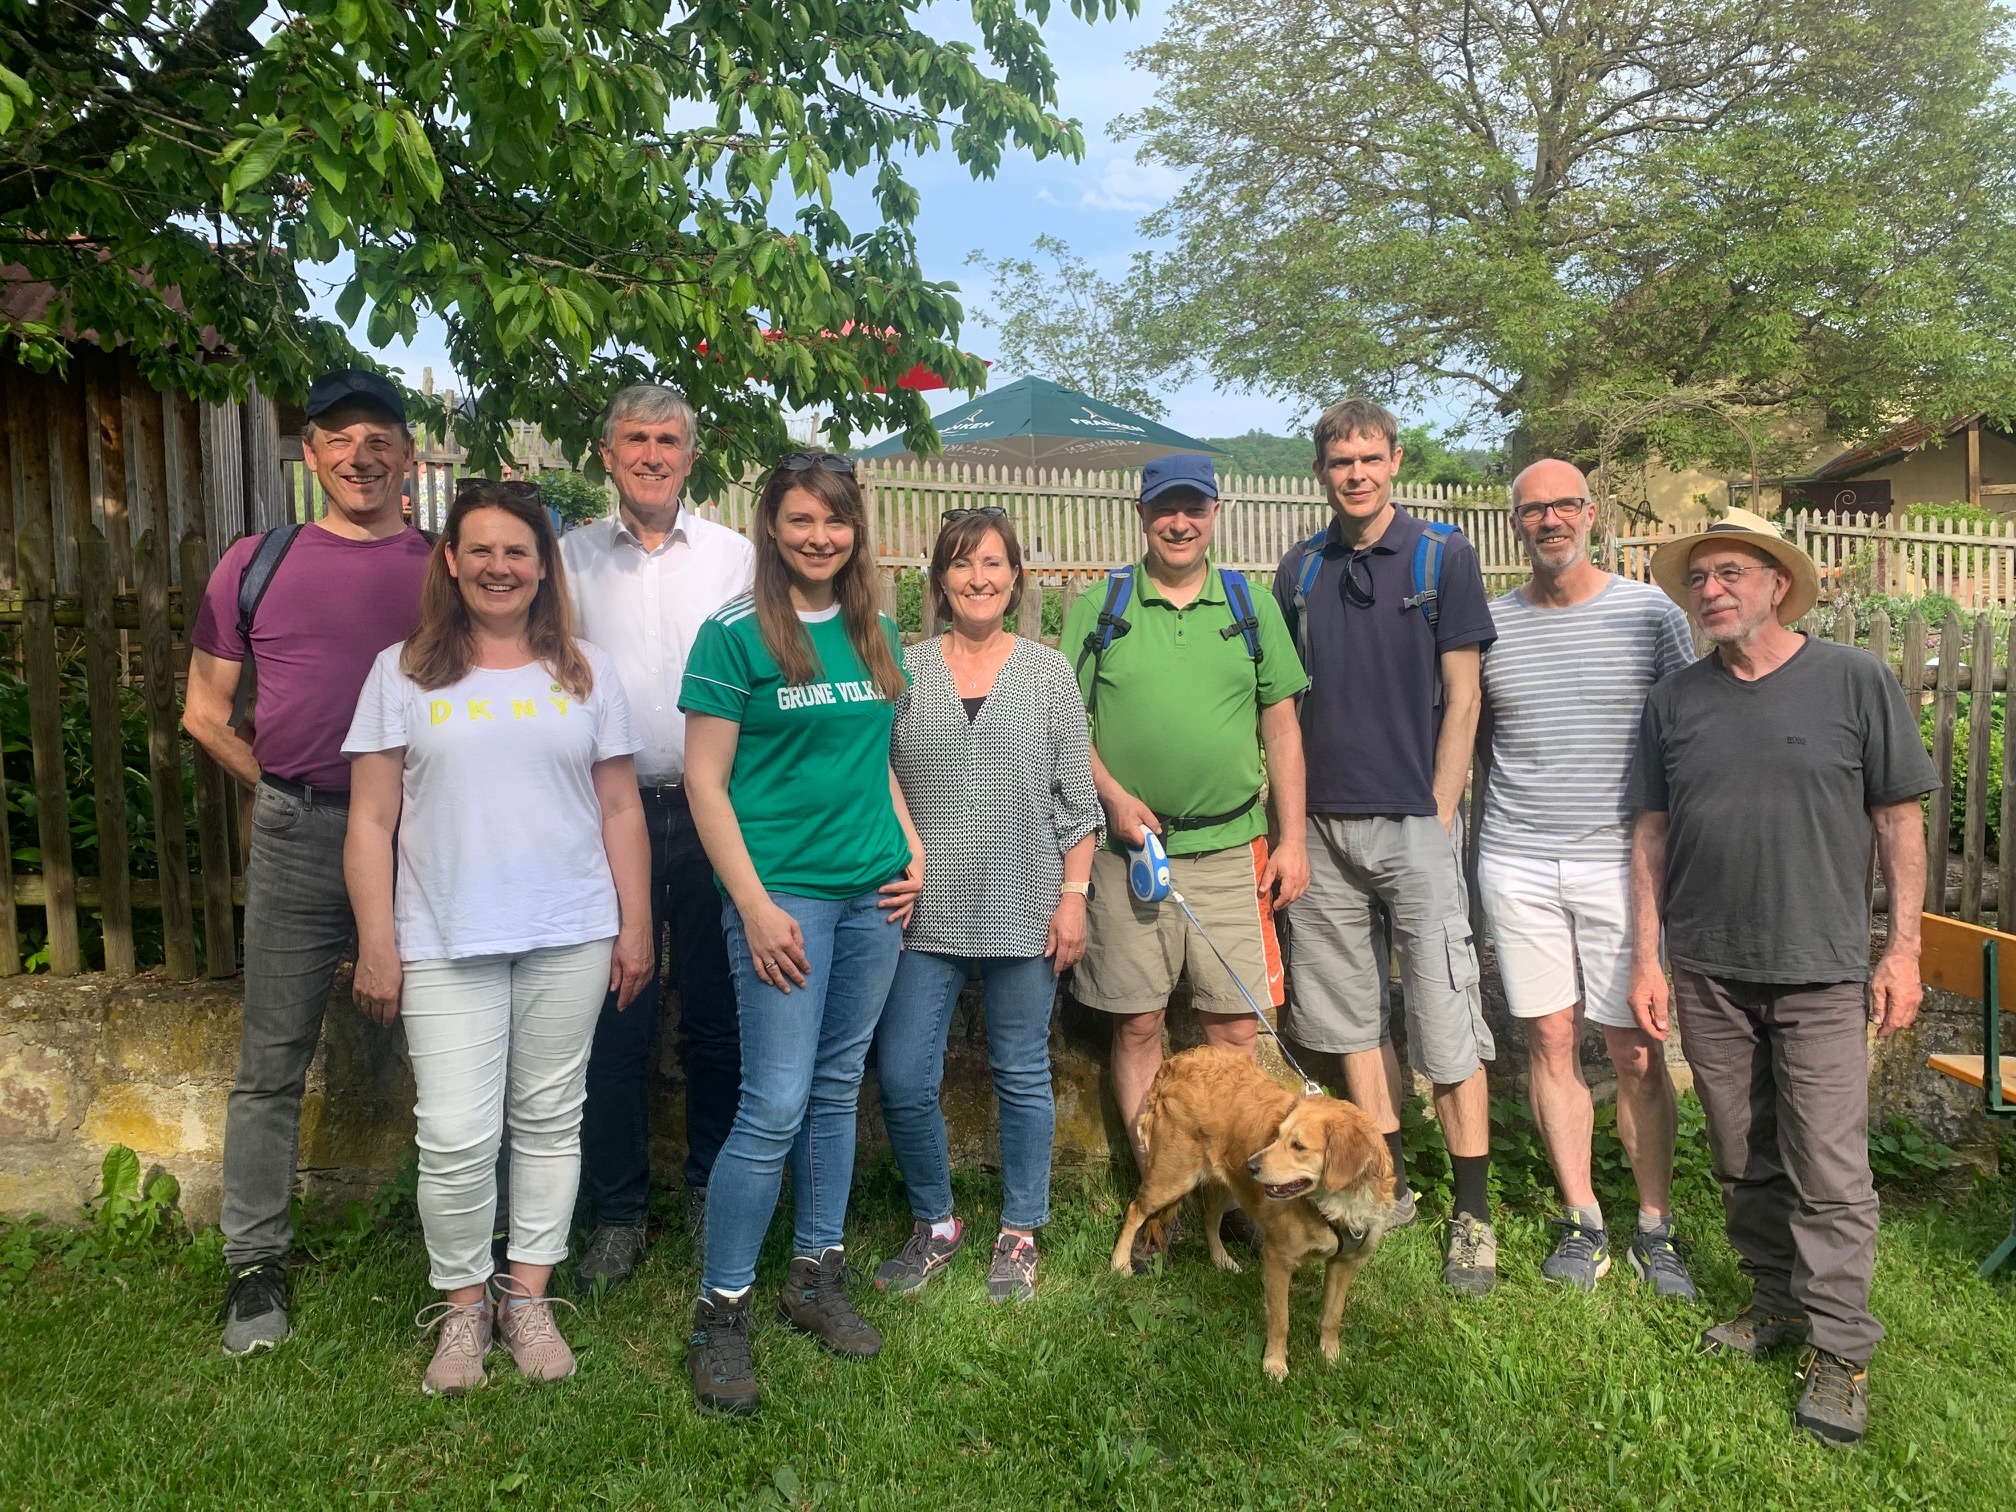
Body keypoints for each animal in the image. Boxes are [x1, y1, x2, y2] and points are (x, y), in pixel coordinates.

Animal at [1112, 1056, 1395, 1387]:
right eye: (1278, 1136)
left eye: (1298, 1146)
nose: (1251, 1166)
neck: (1336, 1203)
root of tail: (1180, 1062)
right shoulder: (1278, 1259)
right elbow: (1281, 1320)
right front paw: (1274, 1364)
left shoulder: (1344, 1263)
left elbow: (1332, 1316)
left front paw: (1332, 1358)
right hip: (1172, 1180)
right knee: (1135, 1210)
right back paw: (1120, 1263)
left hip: (1225, 1181)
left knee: (1210, 1218)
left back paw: (1221, 1260)